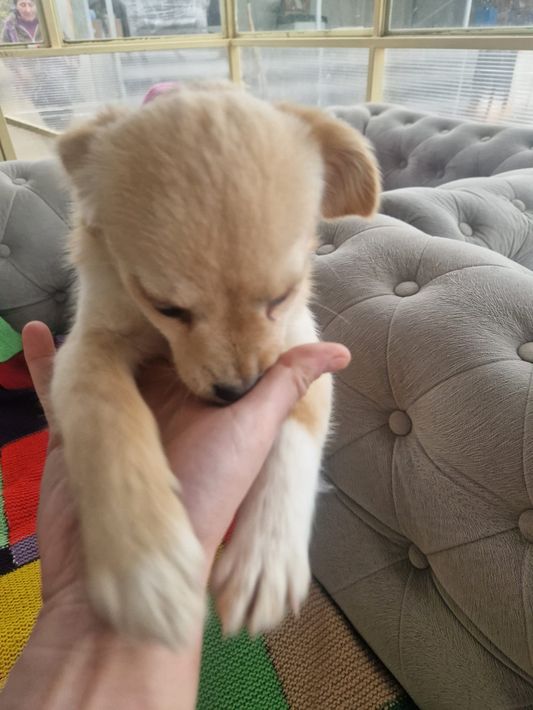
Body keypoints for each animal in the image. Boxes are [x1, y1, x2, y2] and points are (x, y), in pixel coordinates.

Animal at [51, 81, 380, 647]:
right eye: (166, 308)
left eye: (282, 295)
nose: (239, 391)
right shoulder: (86, 345)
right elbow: (105, 412)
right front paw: (148, 562)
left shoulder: (302, 343)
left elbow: (295, 430)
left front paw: (267, 557)